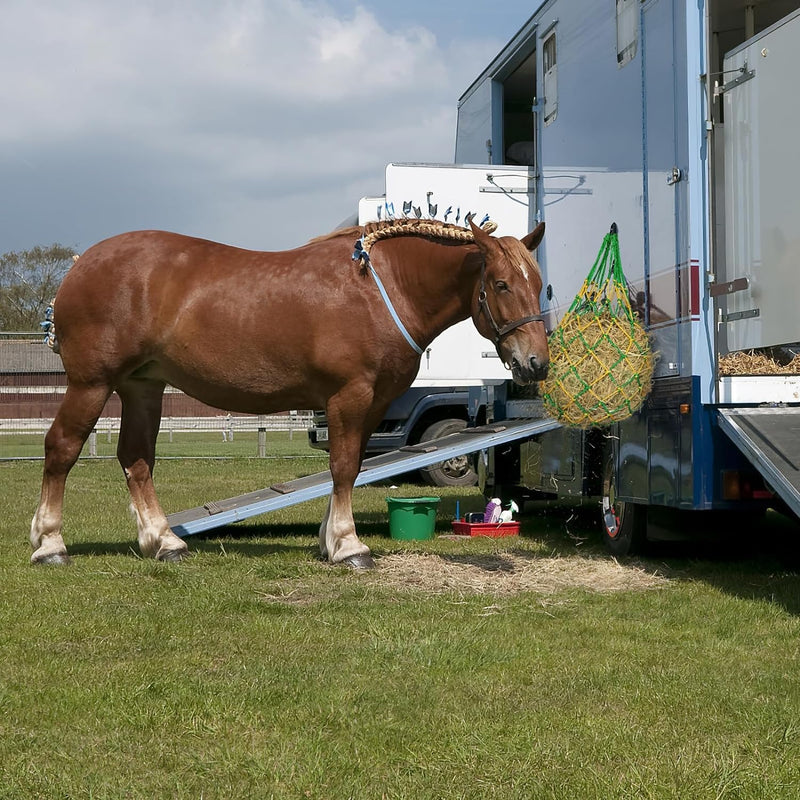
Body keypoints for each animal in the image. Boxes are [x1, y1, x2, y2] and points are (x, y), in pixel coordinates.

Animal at [30, 217, 548, 568]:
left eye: (538, 284)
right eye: (501, 284)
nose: (536, 362)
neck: (382, 289)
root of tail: (80, 266)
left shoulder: (373, 403)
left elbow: (350, 466)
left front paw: (329, 540)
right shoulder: (349, 396)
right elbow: (343, 467)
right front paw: (349, 545)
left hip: (142, 387)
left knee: (136, 459)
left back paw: (163, 542)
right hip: (92, 384)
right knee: (62, 448)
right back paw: (50, 544)